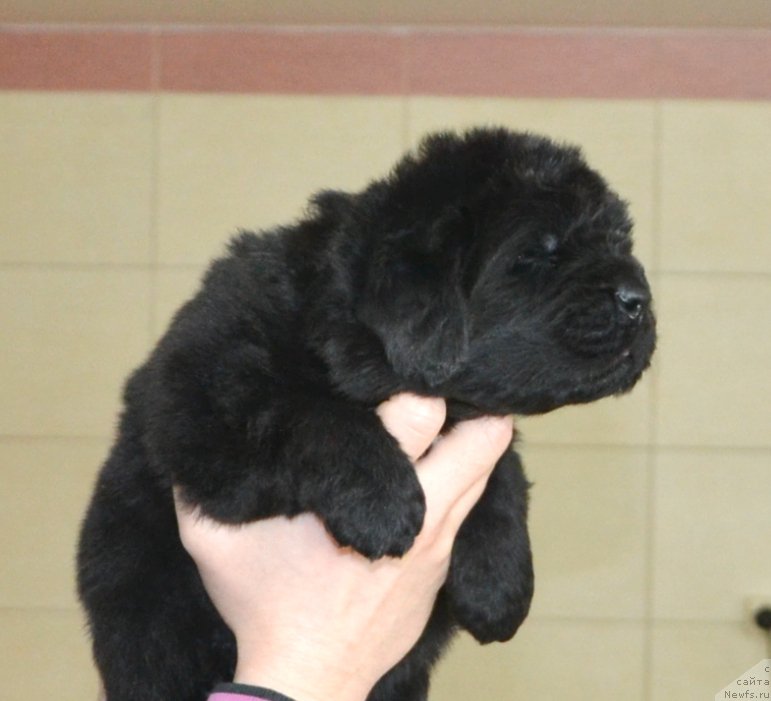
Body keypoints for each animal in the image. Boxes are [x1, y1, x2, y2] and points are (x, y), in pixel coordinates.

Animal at [77, 127, 656, 700]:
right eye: (540, 253)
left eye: (620, 242)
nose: (639, 299)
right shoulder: (196, 398)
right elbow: (312, 412)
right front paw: (383, 505)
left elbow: (502, 475)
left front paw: (499, 583)